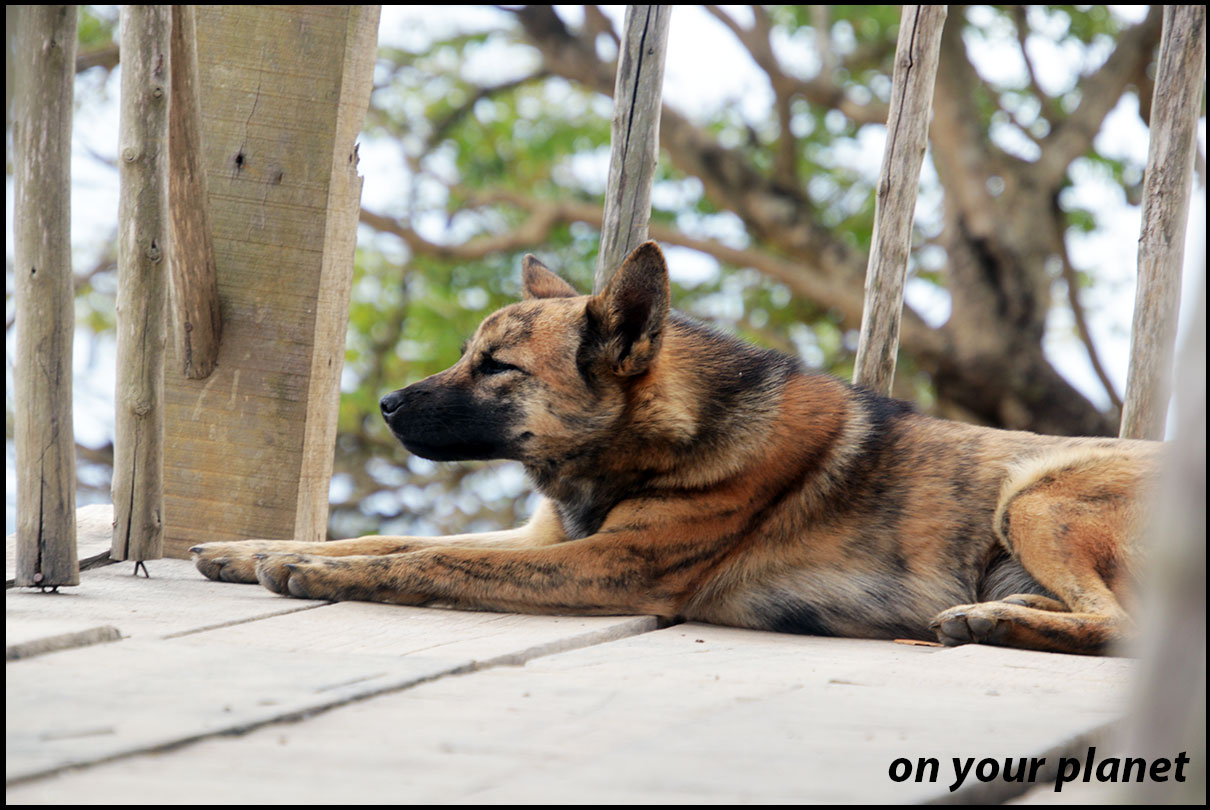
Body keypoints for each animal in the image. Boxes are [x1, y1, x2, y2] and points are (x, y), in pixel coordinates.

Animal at [192, 241, 1161, 655]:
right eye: (470, 354)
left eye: (497, 367)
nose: (387, 405)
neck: (662, 435)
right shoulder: (550, 537)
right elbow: (379, 535)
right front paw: (257, 549)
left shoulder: (602, 565)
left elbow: (429, 561)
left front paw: (314, 572)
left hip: (1036, 494)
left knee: (1120, 627)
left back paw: (1000, 621)